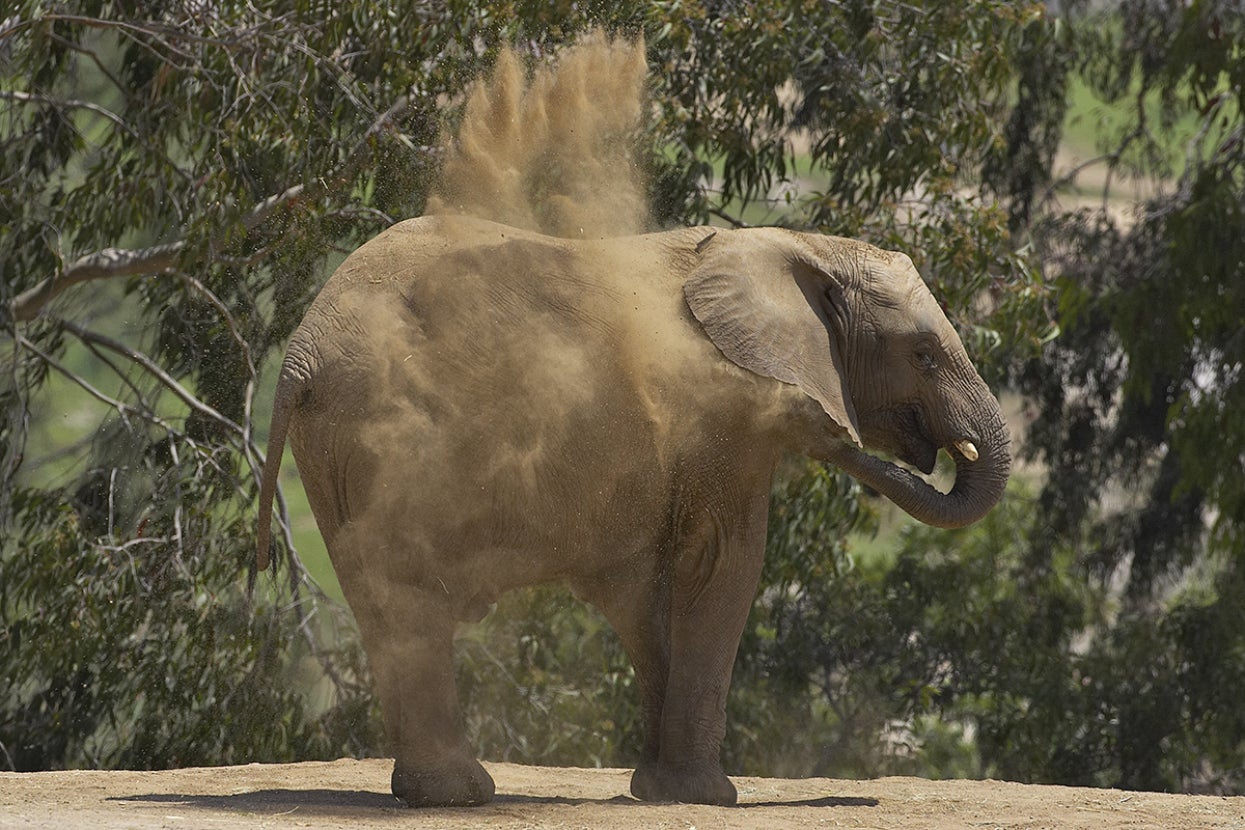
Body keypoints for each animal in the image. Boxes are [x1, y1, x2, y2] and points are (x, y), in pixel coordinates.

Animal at [255, 213, 1010, 807]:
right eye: (923, 354)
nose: (835, 431)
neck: (801, 244)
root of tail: (299, 354)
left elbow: (647, 591)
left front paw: (659, 789)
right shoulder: (723, 414)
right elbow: (723, 566)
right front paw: (706, 796)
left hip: (335, 451)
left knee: (383, 599)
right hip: (386, 433)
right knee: (409, 590)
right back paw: (460, 795)